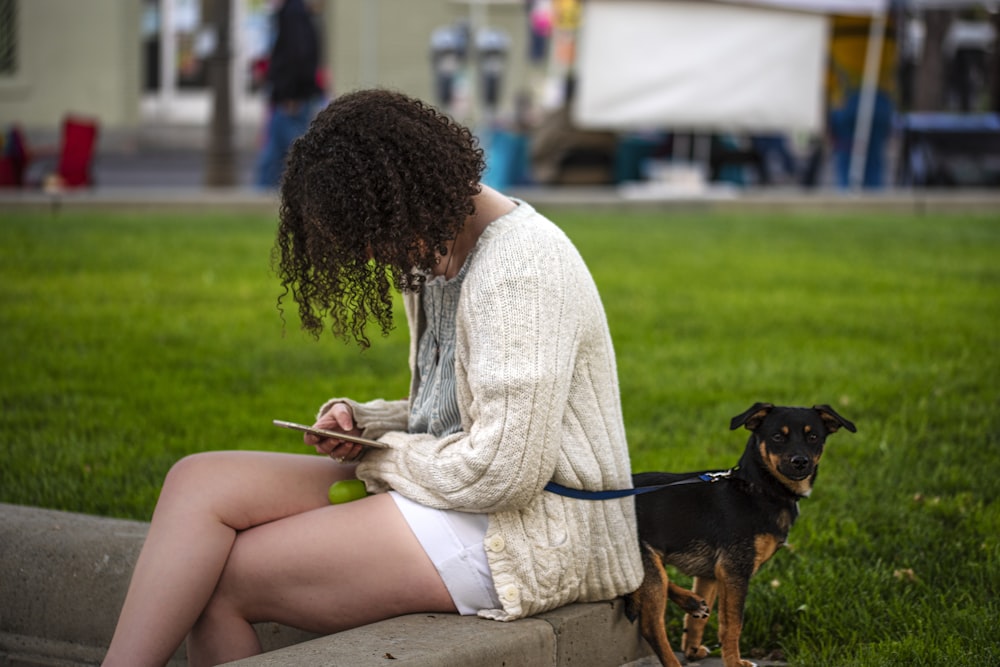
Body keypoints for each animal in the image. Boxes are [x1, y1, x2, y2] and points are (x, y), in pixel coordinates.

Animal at [624, 404, 852, 667]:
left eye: (813, 437)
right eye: (777, 437)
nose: (800, 462)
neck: (759, 488)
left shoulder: (711, 574)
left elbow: (699, 622)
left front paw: (692, 649)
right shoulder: (735, 570)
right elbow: (732, 624)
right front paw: (734, 662)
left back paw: (691, 602)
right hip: (645, 561)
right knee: (651, 625)